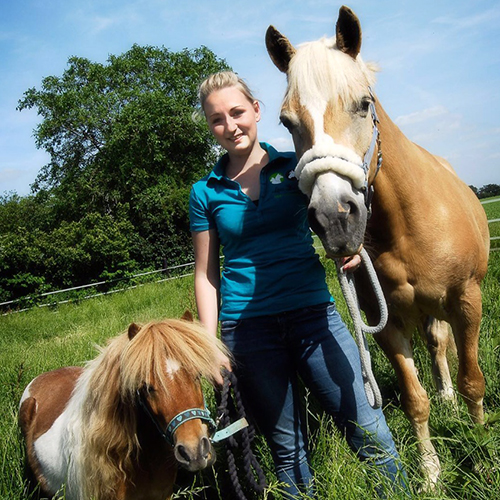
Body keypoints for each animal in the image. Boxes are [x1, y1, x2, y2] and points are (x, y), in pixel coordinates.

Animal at [268, 3, 490, 488]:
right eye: (286, 122)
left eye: (363, 104)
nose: (334, 217)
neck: (407, 223)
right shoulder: (385, 324)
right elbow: (414, 400)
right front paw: (429, 474)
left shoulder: (468, 301)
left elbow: (474, 382)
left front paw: (484, 453)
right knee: (436, 345)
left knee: (443, 348)